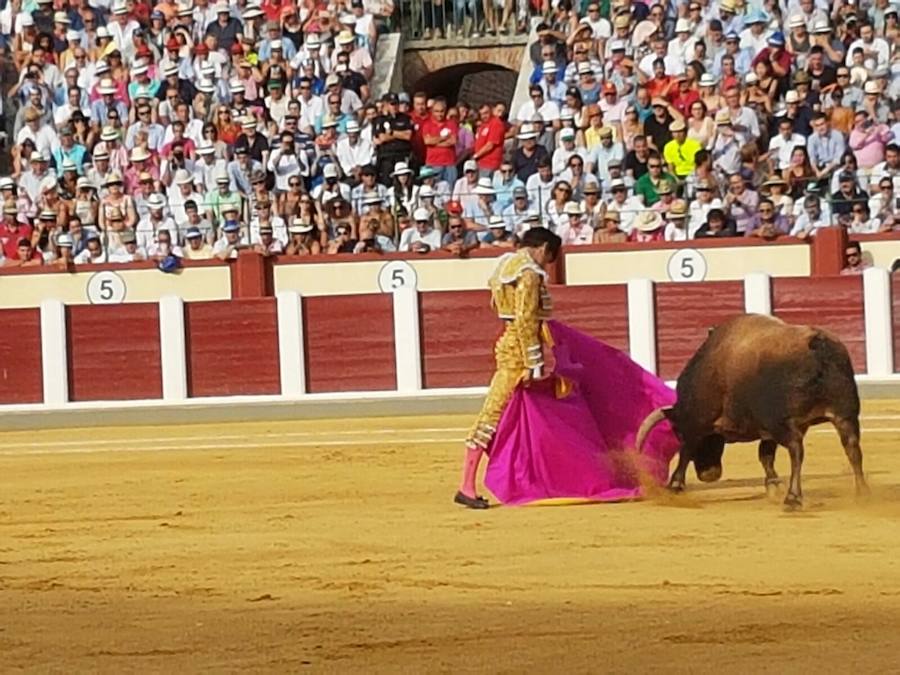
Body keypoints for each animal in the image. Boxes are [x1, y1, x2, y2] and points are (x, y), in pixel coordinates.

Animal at [636, 314, 868, 510]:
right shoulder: (767, 430)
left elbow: (686, 451)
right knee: (852, 448)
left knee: (797, 449)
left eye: (677, 432)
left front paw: (674, 485)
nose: (708, 474)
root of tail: (818, 345)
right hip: (845, 415)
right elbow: (765, 455)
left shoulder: (697, 422)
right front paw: (773, 485)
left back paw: (793, 498)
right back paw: (862, 492)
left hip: (784, 422)